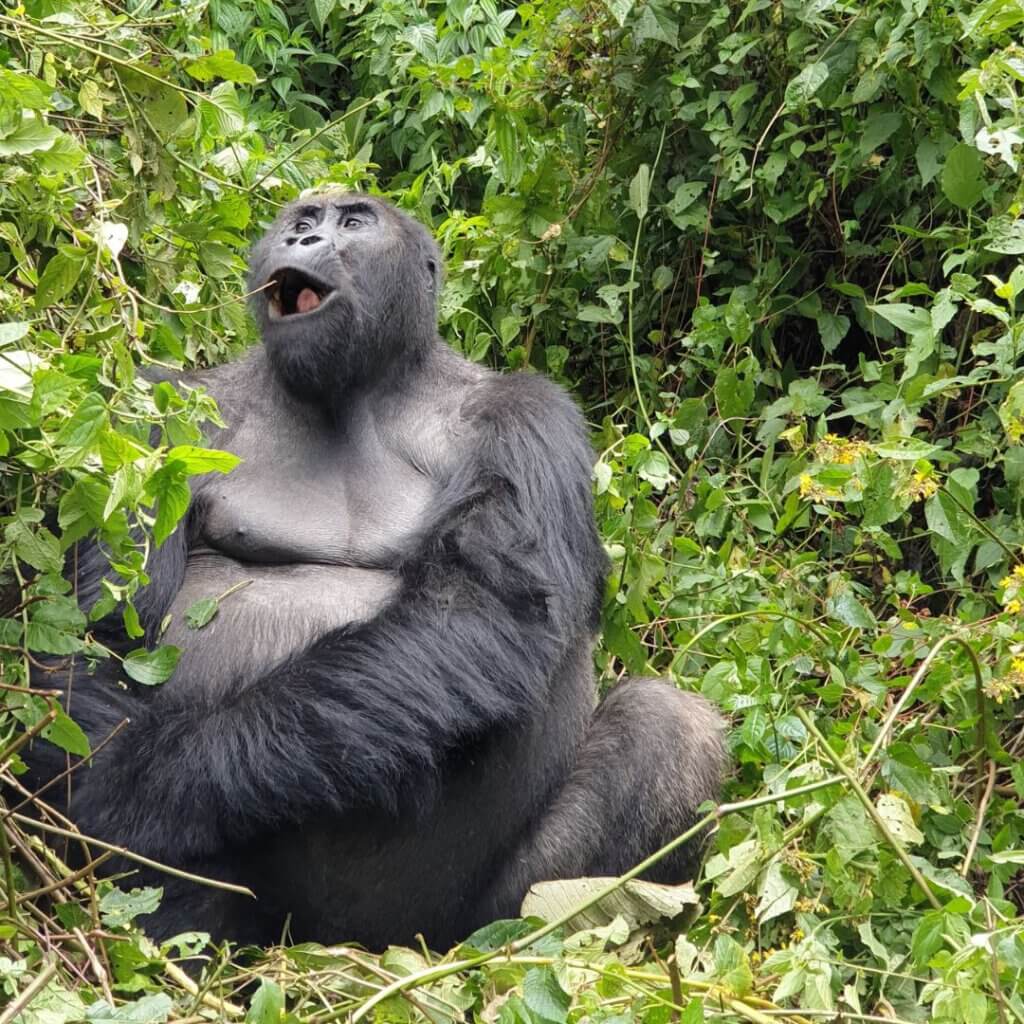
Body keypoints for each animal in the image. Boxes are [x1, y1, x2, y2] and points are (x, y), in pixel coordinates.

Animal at [25, 193, 729, 950]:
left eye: (353, 223)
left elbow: (480, 608)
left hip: (461, 921)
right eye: (301, 220)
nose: (303, 239)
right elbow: (96, 632)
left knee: (668, 732)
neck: (363, 387)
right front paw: (121, 795)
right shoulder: (156, 413)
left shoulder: (527, 413)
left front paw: (153, 789)